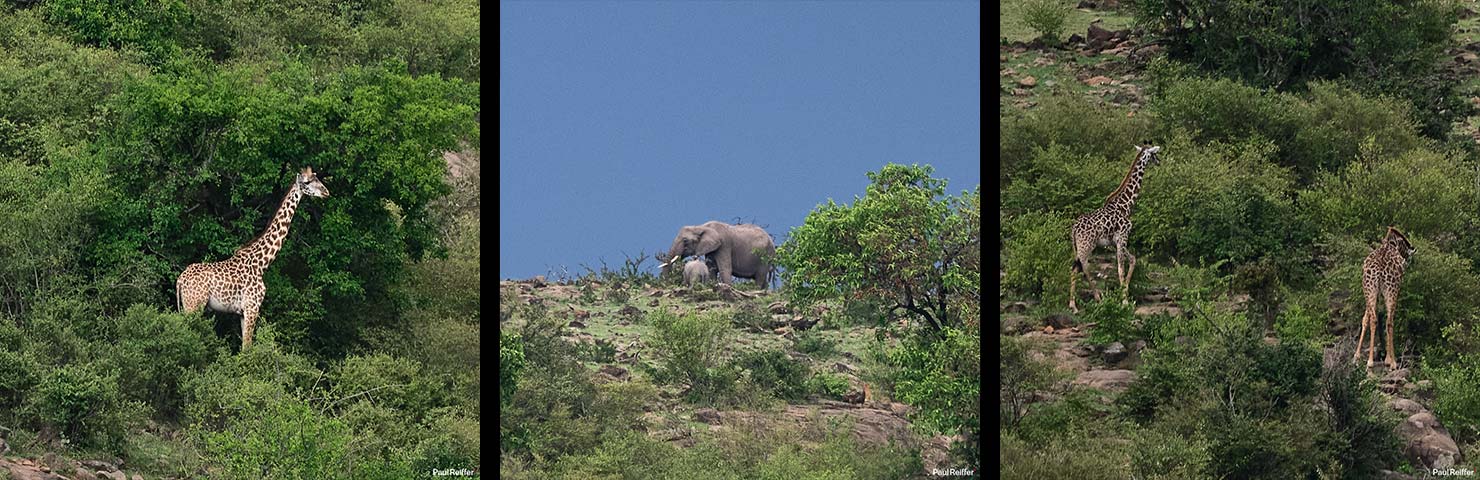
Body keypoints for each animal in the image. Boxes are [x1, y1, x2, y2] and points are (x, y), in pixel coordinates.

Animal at [176, 167, 330, 349]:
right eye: (307, 182)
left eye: (317, 178)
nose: (326, 192)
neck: (262, 263)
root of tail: (180, 280)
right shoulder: (252, 307)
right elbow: (247, 347)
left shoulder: (243, 313)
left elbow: (245, 346)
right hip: (194, 304)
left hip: (187, 304)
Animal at [1069, 145, 1161, 313]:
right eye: (1154, 154)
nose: (1159, 162)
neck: (1126, 204)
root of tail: (1074, 229)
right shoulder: (1122, 237)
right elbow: (1120, 268)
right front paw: (1124, 301)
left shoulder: (1114, 242)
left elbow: (1132, 260)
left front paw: (1125, 294)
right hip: (1087, 245)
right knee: (1083, 267)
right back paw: (1092, 299)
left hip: (1077, 247)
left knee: (1076, 267)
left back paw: (1078, 303)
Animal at [1354, 226, 1416, 369]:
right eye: (1404, 245)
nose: (1408, 260)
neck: (1391, 244)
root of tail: (1380, 268)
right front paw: (1389, 359)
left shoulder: (1374, 293)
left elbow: (1366, 318)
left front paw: (1356, 356)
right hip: (1391, 290)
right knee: (1389, 321)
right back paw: (1392, 362)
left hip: (1369, 288)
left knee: (1374, 319)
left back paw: (1370, 361)